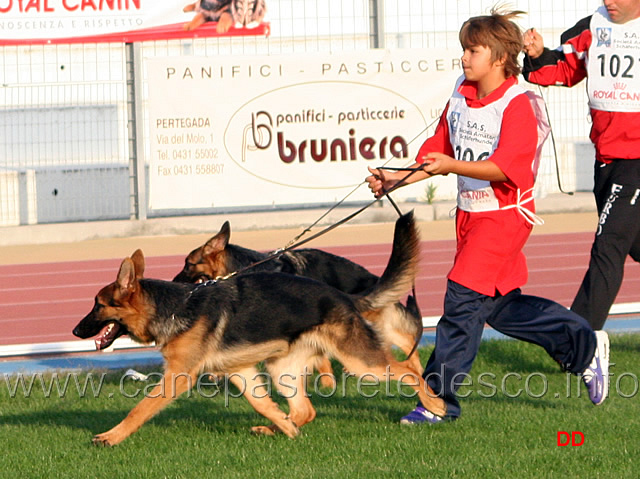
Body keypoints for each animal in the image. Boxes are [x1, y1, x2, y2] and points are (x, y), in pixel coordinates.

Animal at [72, 214, 444, 446]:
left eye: (97, 303)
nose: (75, 330)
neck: (174, 306)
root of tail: (345, 297)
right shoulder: (243, 372)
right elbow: (263, 404)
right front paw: (283, 427)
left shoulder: (178, 377)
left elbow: (140, 409)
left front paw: (111, 437)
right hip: (281, 369)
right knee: (304, 410)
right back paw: (278, 429)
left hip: (360, 363)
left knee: (407, 370)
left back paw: (436, 405)